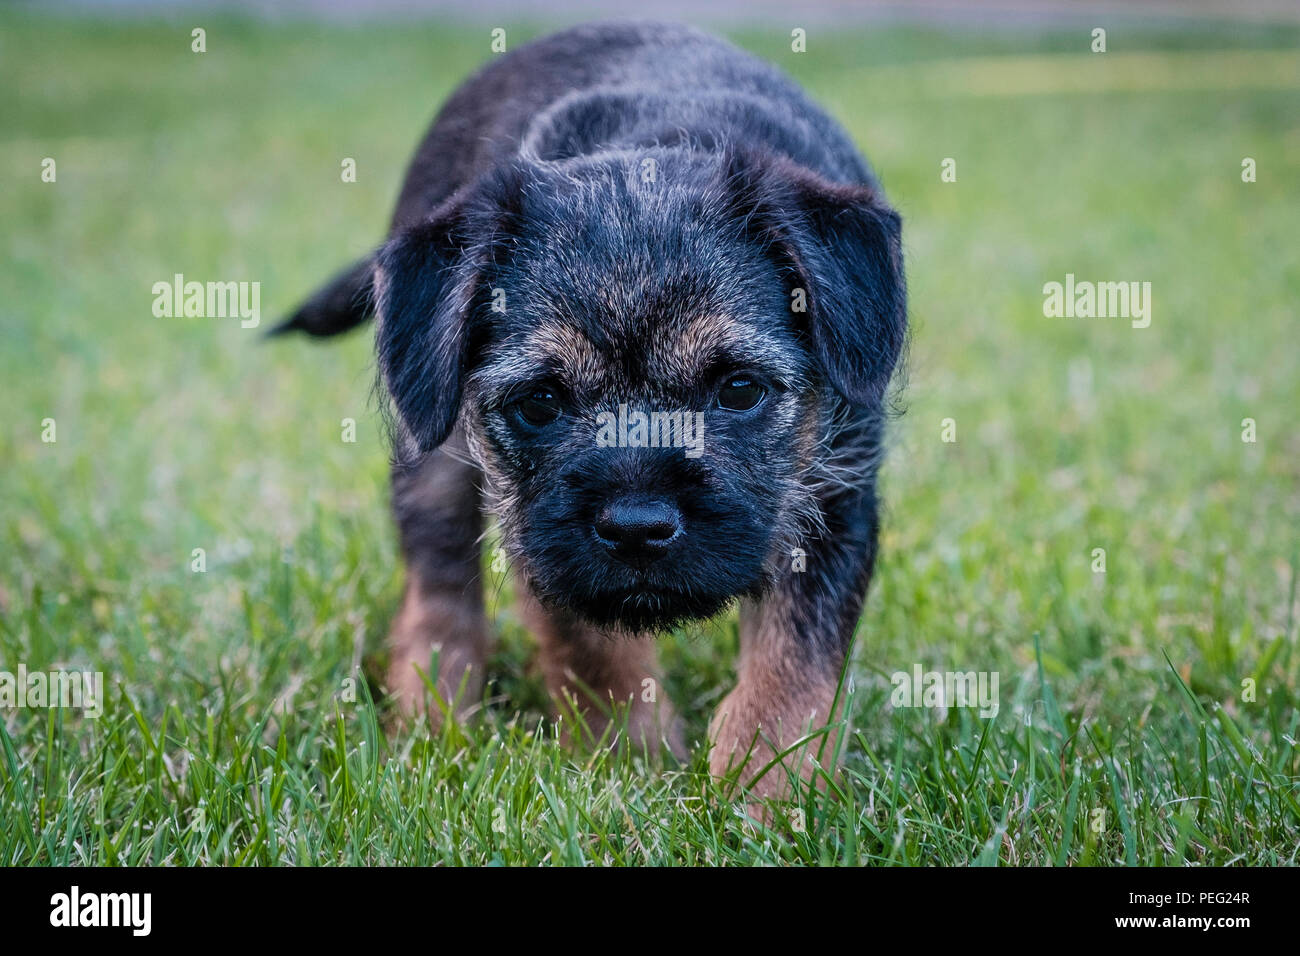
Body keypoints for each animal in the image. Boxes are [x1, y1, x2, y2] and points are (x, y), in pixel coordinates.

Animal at [274, 20, 904, 801]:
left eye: (738, 390)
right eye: (541, 403)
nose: (636, 526)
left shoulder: (836, 499)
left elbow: (794, 667)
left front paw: (765, 793)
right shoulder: (535, 526)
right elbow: (589, 644)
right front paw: (632, 764)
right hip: (433, 449)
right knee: (438, 588)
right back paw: (432, 726)